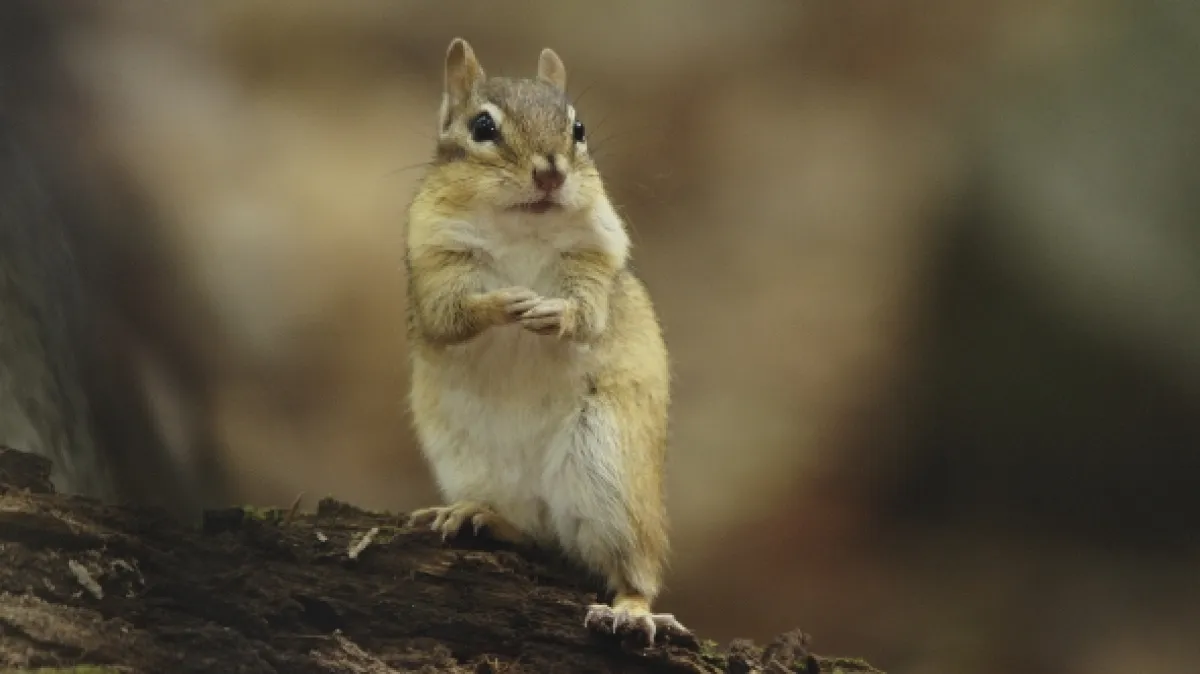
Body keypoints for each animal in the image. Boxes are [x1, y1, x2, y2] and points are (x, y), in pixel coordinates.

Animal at [404, 38, 690, 646]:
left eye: (577, 128)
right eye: (482, 126)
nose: (551, 172)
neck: (522, 228)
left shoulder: (595, 258)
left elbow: (587, 313)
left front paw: (553, 311)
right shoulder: (434, 263)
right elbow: (451, 315)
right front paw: (504, 303)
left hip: (610, 476)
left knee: (629, 571)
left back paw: (631, 611)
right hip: (471, 464)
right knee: (533, 535)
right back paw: (477, 515)